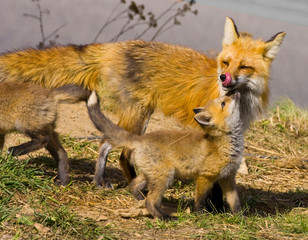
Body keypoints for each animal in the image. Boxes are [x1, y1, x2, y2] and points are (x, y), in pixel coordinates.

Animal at [86, 89, 243, 218]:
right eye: (223, 103)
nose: (234, 91)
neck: (225, 145)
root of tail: (140, 139)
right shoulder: (206, 177)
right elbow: (200, 200)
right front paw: (200, 214)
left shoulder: (228, 177)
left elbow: (235, 201)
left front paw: (240, 217)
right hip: (165, 176)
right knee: (150, 201)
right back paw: (163, 217)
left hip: (153, 174)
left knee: (134, 185)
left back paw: (140, 200)